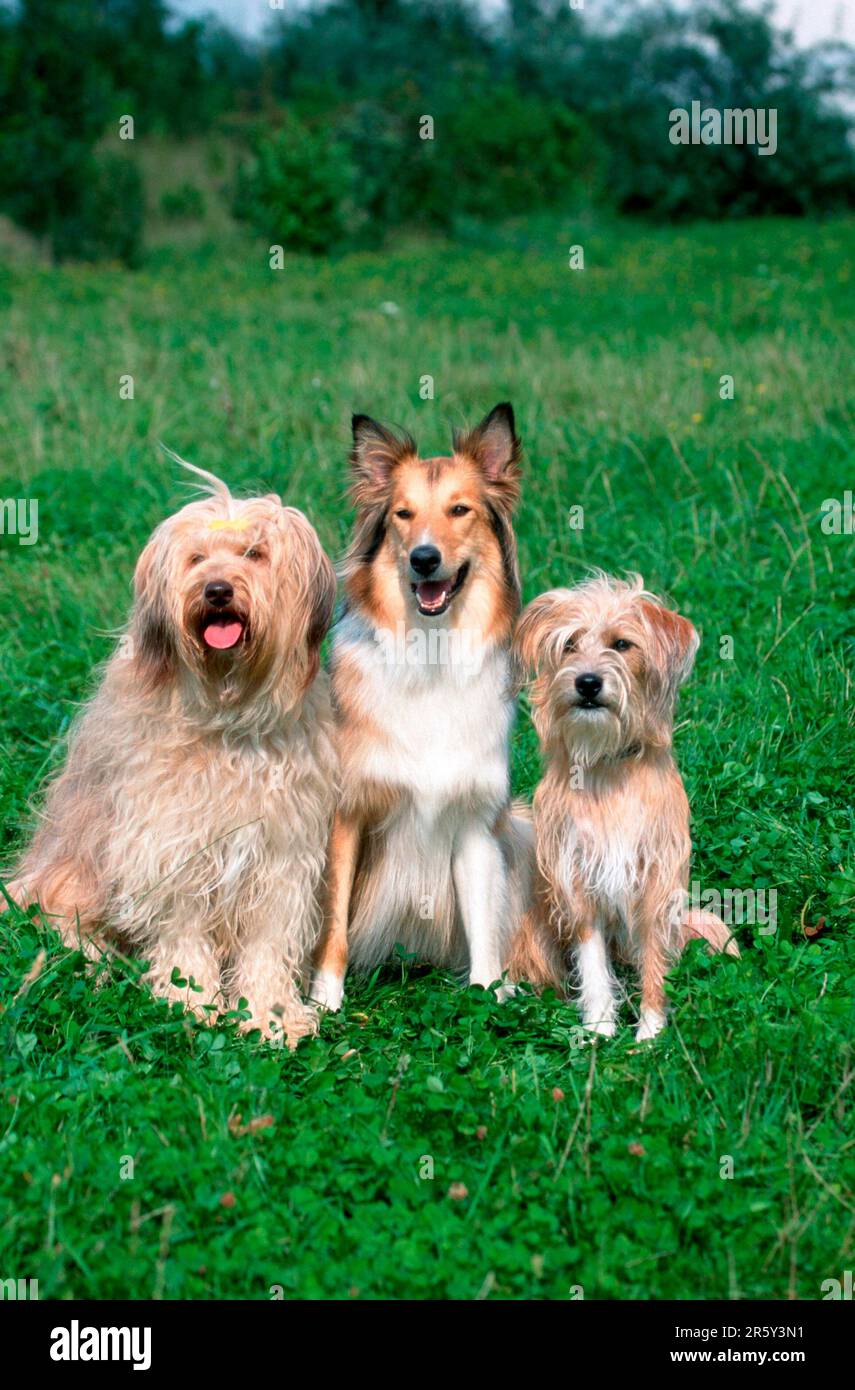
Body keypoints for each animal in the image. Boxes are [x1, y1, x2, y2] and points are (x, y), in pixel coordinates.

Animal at [9, 467, 340, 1045]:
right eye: (197, 558)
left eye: (254, 553)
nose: (217, 590)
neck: (226, 718)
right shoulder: (170, 844)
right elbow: (183, 933)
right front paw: (191, 1002)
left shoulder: (281, 856)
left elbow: (268, 941)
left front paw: (270, 1014)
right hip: (67, 878)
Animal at [311, 403, 531, 1011]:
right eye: (403, 515)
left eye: (460, 510)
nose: (424, 558)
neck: (431, 653)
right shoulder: (345, 815)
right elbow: (333, 923)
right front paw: (323, 1002)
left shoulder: (475, 821)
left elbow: (483, 925)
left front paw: (489, 994)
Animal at [508, 569, 734, 1039]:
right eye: (570, 644)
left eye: (623, 644)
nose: (588, 682)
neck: (607, 768)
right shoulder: (578, 882)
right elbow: (593, 962)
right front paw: (598, 1027)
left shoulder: (655, 883)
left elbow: (654, 963)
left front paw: (649, 1033)